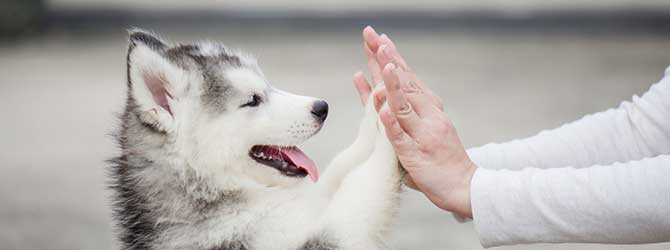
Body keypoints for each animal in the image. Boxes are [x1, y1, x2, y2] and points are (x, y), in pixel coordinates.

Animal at [110, 29, 404, 250]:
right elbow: (364, 183)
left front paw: (377, 107)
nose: (322, 108)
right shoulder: (331, 236)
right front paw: (391, 123)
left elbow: (340, 166)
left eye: (268, 86)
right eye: (252, 100)